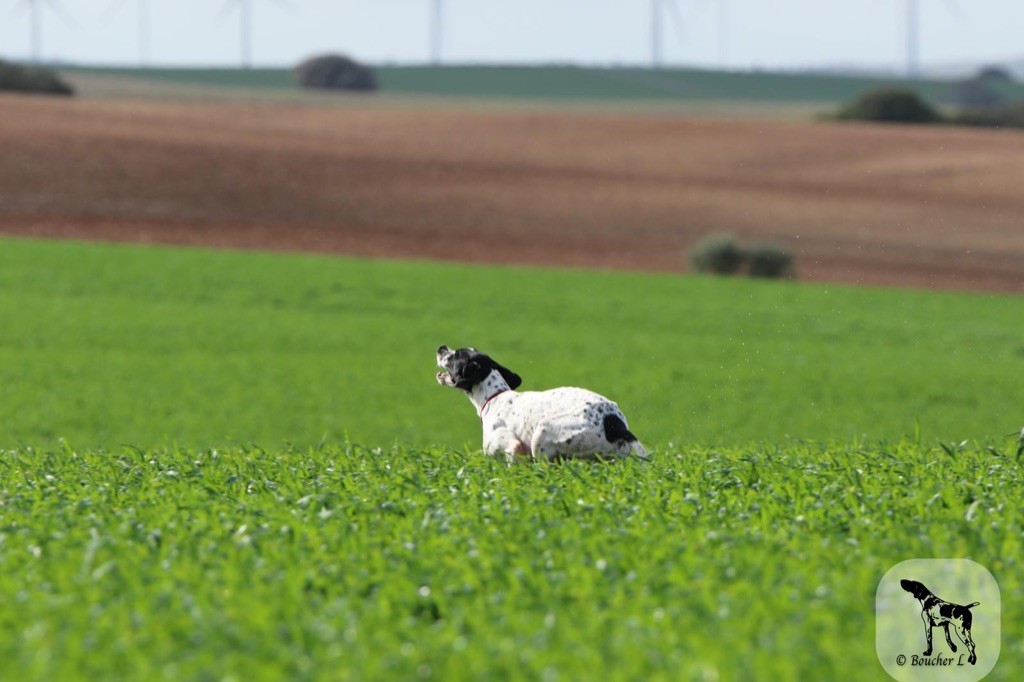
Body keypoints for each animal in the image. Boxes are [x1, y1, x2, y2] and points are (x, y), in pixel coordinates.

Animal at [434, 346, 647, 462]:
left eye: (456, 355)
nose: (442, 347)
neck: (494, 396)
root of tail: (615, 423)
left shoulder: (513, 447)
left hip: (542, 432)